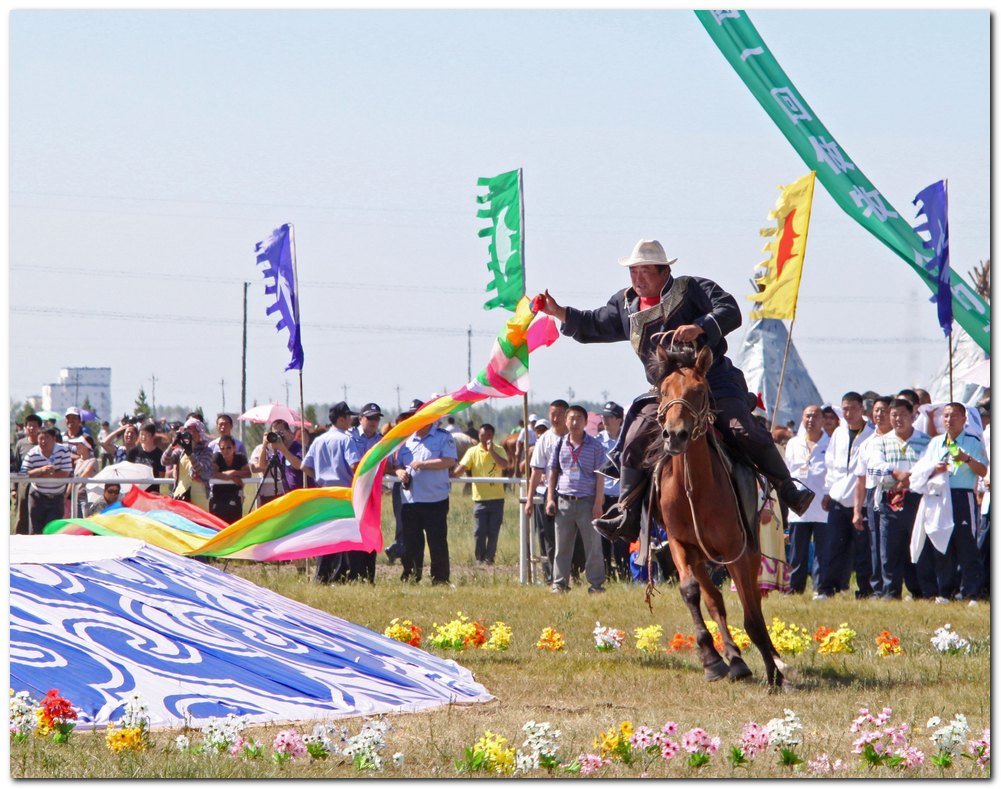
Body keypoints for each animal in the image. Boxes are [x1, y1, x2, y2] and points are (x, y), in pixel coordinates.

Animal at [652, 342, 784, 688]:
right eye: (663, 391)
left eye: (699, 392)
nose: (675, 435)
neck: (696, 489)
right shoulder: (679, 544)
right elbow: (691, 592)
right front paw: (712, 660)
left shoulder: (736, 550)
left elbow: (752, 615)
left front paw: (775, 673)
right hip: (700, 557)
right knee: (714, 601)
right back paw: (733, 660)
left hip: (749, 551)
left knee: (753, 601)